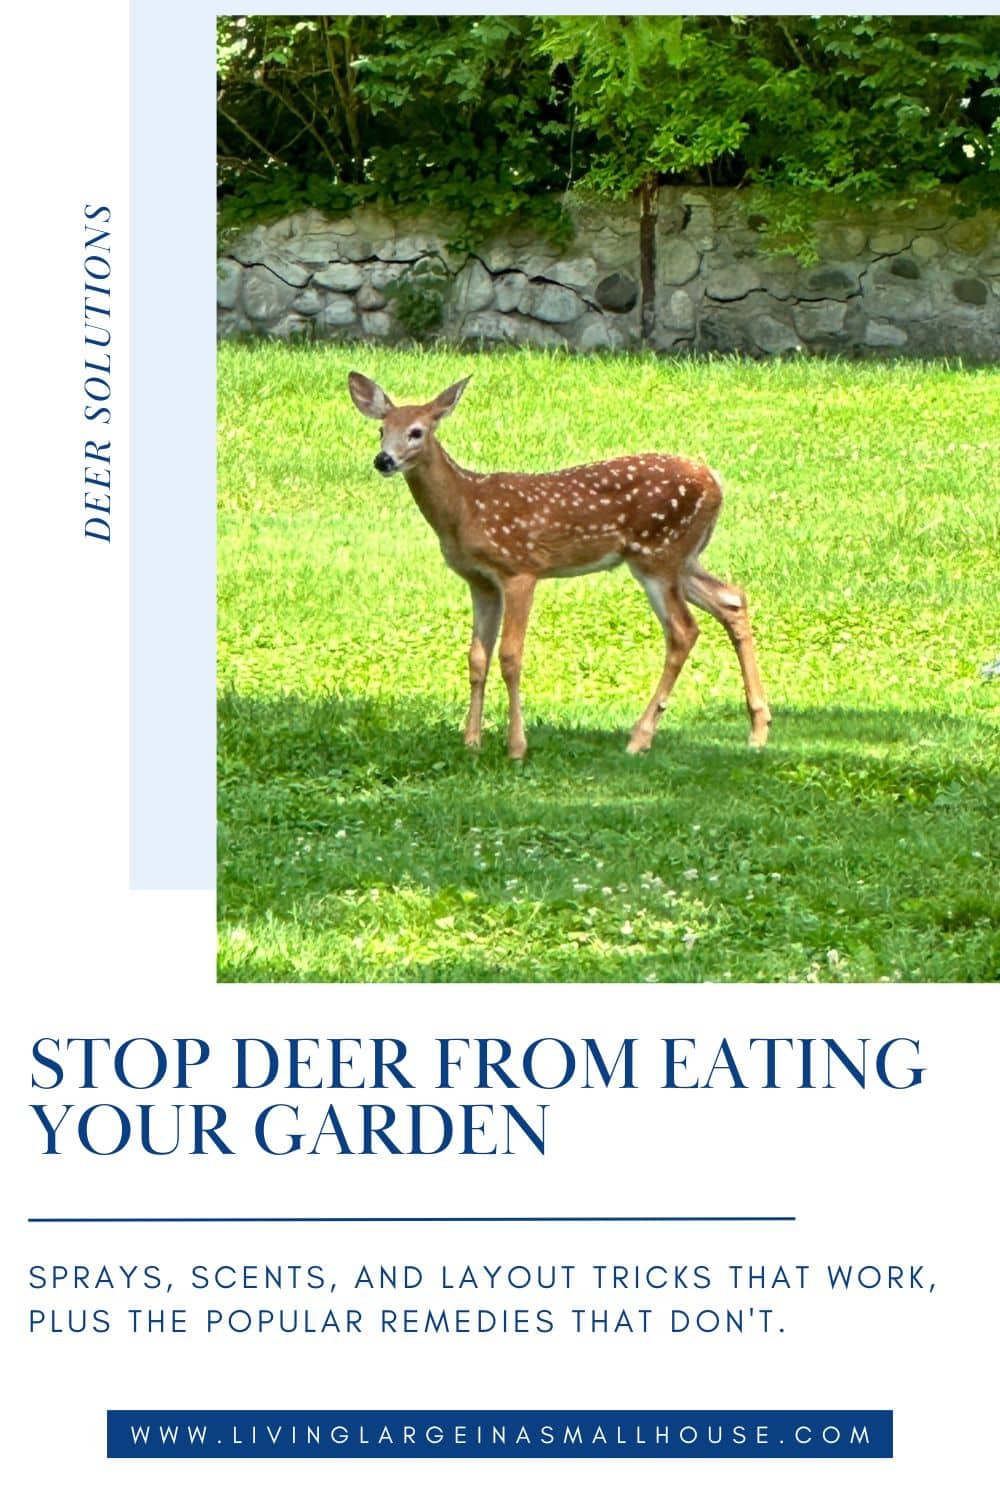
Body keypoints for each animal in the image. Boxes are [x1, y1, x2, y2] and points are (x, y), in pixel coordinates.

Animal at [348, 371, 770, 759]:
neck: (466, 506)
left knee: (684, 631)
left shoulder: (520, 568)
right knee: (732, 598)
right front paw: (471, 742)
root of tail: (715, 481)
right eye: (382, 429)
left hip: (659, 553)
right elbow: (477, 658)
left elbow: (510, 657)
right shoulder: (479, 581)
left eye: (416, 432)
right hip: (681, 556)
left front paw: (516, 747)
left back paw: (640, 737)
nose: (383, 459)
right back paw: (758, 729)